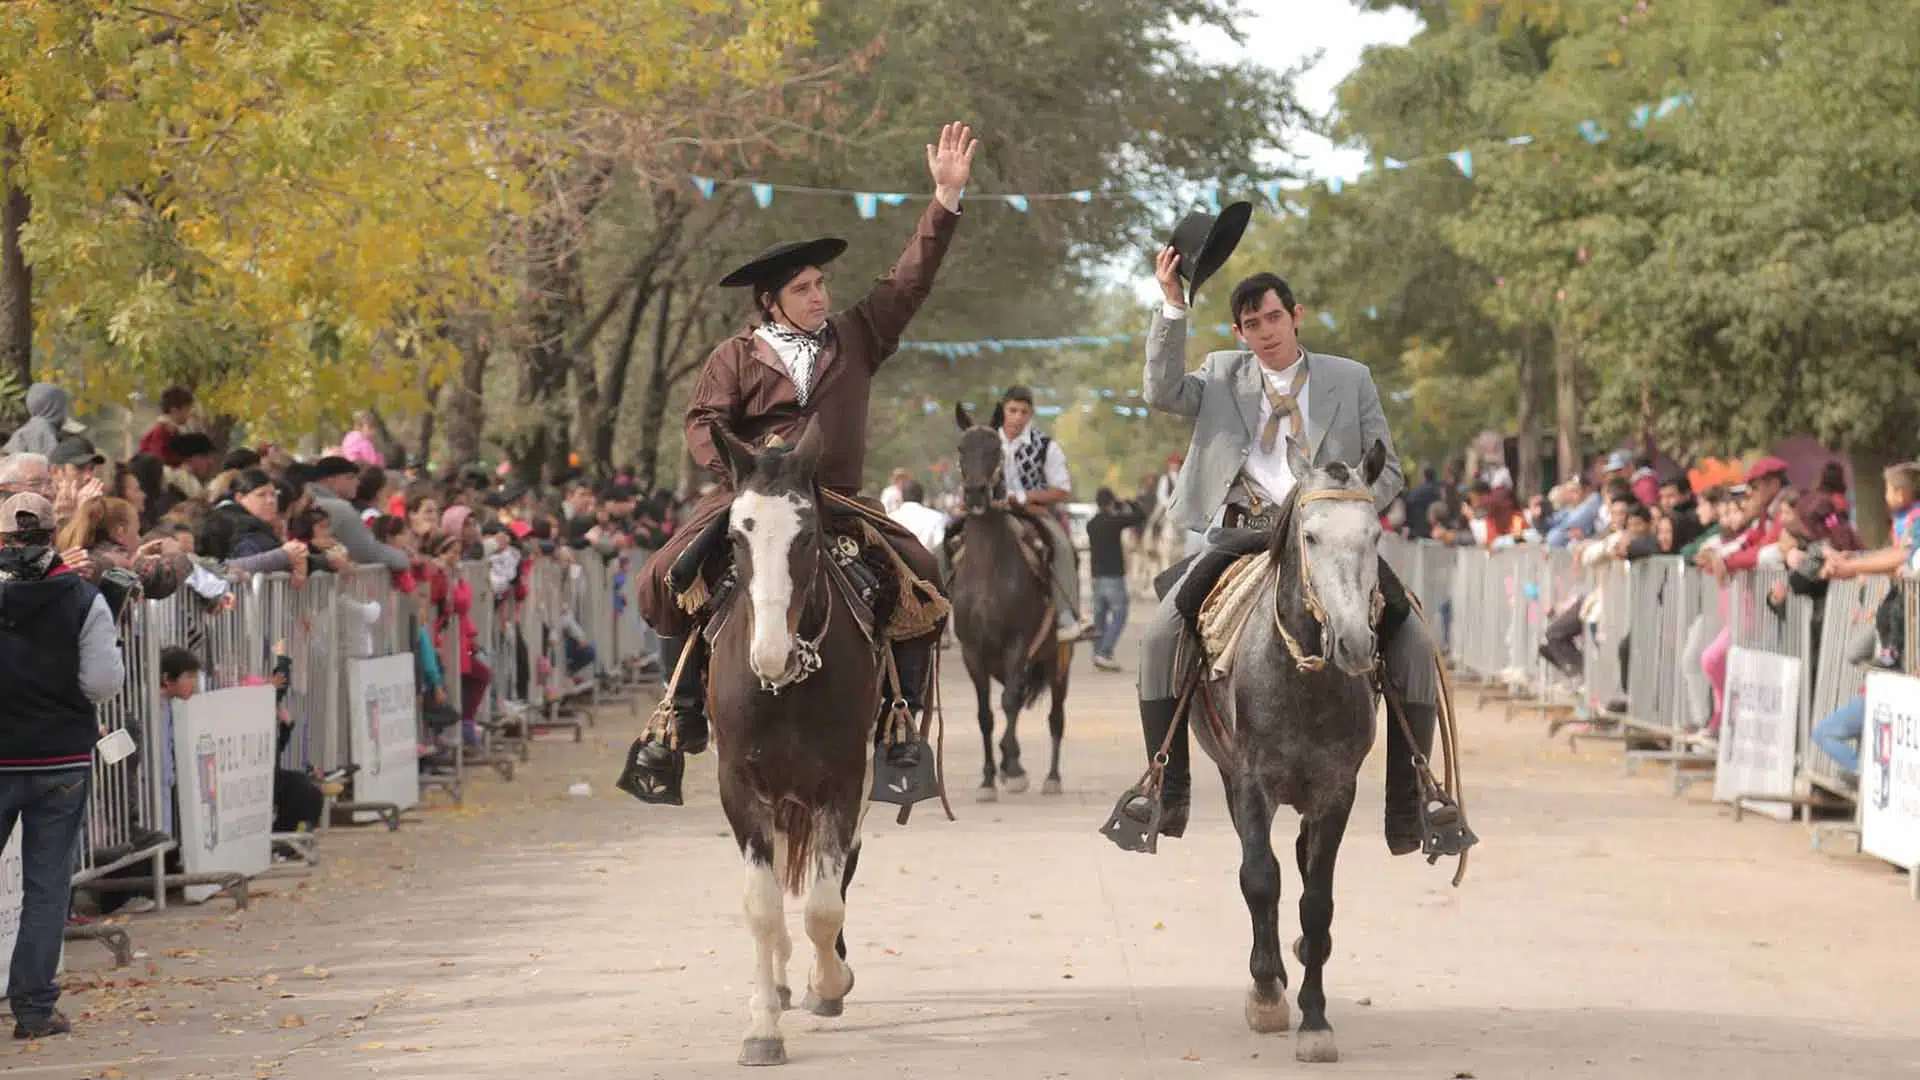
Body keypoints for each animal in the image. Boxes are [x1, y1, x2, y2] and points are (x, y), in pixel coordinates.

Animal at [710, 420, 879, 1060]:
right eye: (737, 536)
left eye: (806, 536)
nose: (770, 655)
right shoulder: (739, 786)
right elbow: (763, 907)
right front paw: (762, 1026)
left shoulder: (846, 781)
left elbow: (825, 907)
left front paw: (829, 983)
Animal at [952, 403, 1075, 799]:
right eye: (962, 448)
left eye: (995, 450)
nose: (975, 494)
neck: (988, 570)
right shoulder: (973, 652)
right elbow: (986, 715)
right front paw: (990, 777)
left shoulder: (1017, 645)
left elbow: (1008, 704)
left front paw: (1012, 769)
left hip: (1059, 662)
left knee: (1055, 716)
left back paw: (1052, 777)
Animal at [1198, 434, 1382, 1060]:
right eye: (1311, 536)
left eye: (1375, 535)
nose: (1353, 643)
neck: (1302, 680)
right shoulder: (1251, 781)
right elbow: (1260, 878)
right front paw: (1267, 995)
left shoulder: (1337, 791)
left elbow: (1316, 900)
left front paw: (1316, 1019)